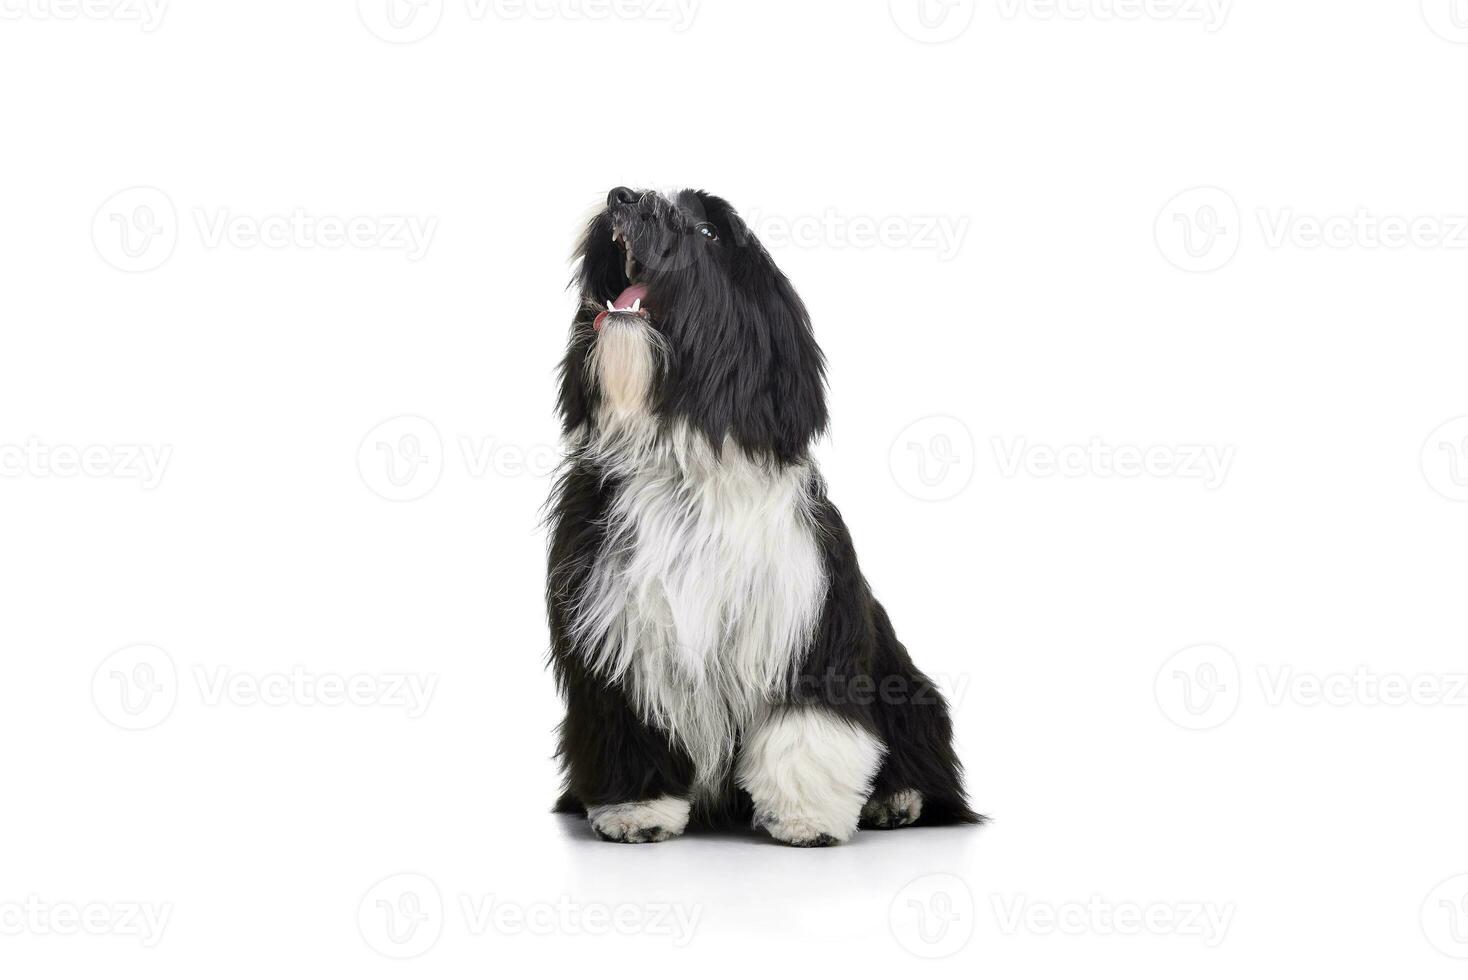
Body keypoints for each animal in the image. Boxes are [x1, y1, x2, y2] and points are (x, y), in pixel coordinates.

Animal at [546, 189, 980, 845]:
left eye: (707, 231)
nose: (624, 197)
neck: (683, 464)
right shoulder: (615, 637)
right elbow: (628, 725)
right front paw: (635, 809)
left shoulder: (807, 624)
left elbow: (806, 729)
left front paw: (807, 818)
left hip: (907, 686)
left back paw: (895, 800)